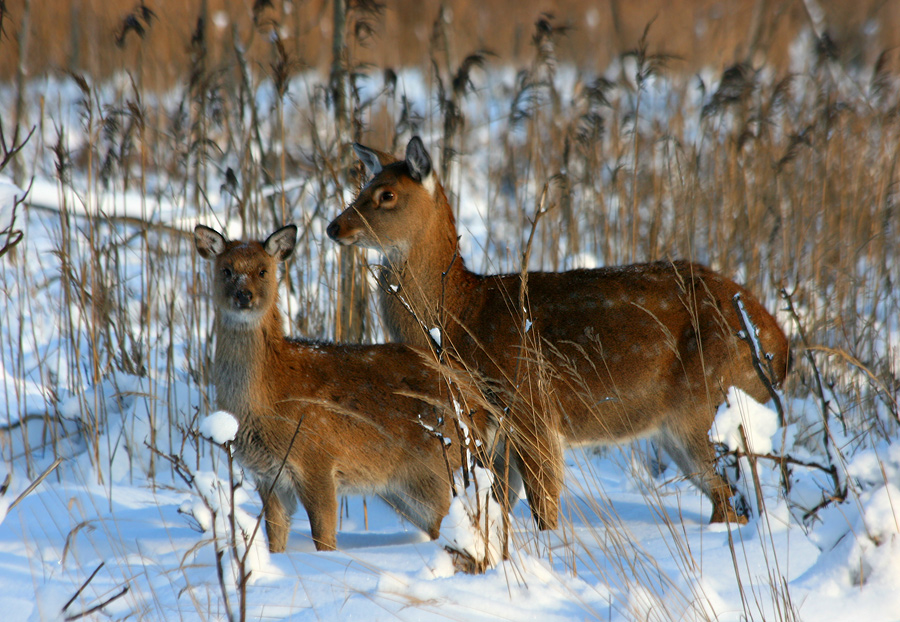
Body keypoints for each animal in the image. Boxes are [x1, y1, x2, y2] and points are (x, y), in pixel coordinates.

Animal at [195, 223, 486, 552]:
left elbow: (324, 539)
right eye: (226, 270)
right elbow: (275, 538)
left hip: (436, 468)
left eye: (262, 271)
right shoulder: (268, 477)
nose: (244, 296)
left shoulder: (317, 460)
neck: (271, 394)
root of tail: (478, 398)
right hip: (403, 488)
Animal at [324, 138, 788, 532]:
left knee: (728, 496)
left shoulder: (530, 406)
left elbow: (543, 504)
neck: (461, 316)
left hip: (705, 402)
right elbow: (500, 504)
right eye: (363, 185)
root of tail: (780, 345)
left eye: (386, 195)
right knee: (726, 499)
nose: (334, 228)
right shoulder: (498, 432)